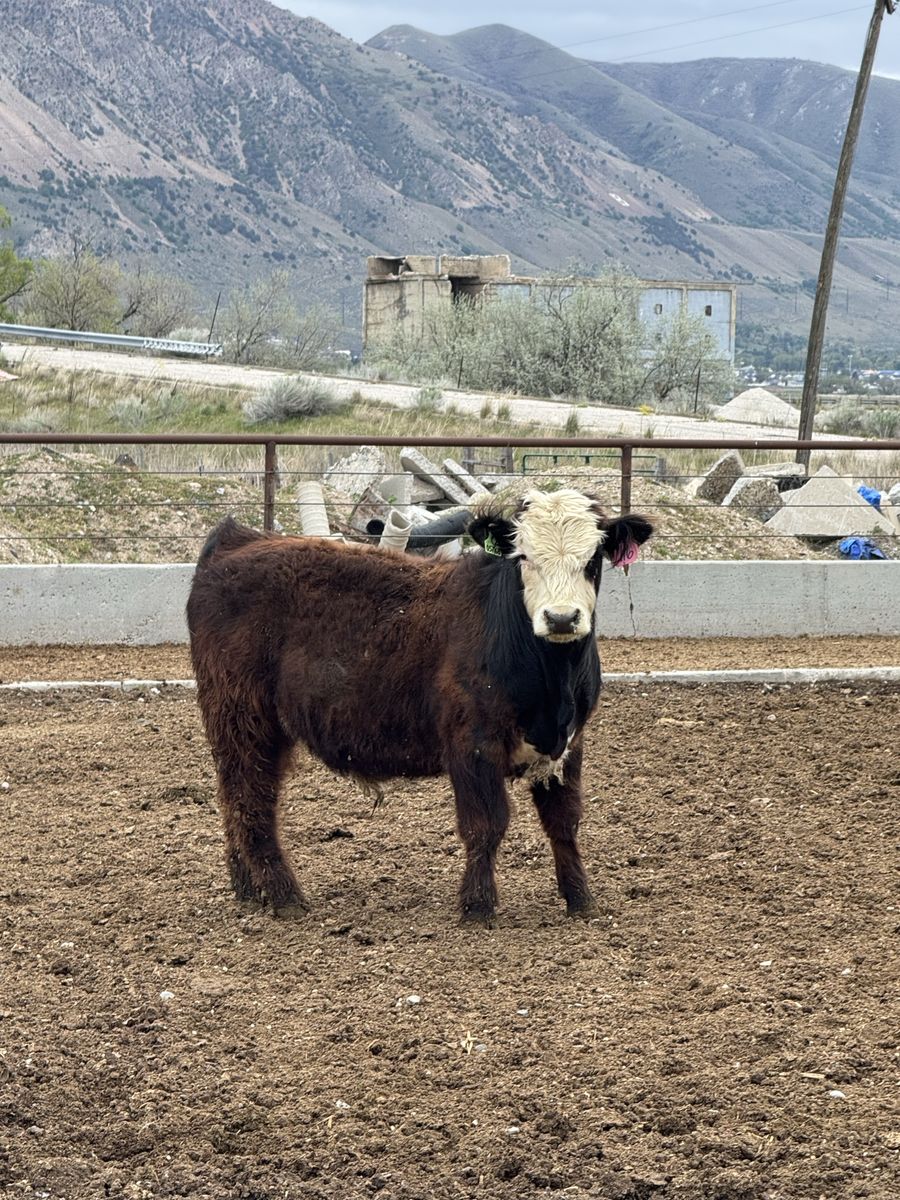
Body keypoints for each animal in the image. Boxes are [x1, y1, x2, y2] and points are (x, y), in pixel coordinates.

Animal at [186, 488, 652, 922]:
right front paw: (478, 906)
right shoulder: (472, 743)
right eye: (524, 557)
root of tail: (237, 540)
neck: (551, 678)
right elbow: (486, 825)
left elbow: (564, 822)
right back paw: (284, 896)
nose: (560, 618)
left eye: (593, 559)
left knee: (233, 797)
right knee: (252, 801)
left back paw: (248, 889)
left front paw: (580, 898)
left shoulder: (568, 744)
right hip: (245, 718)